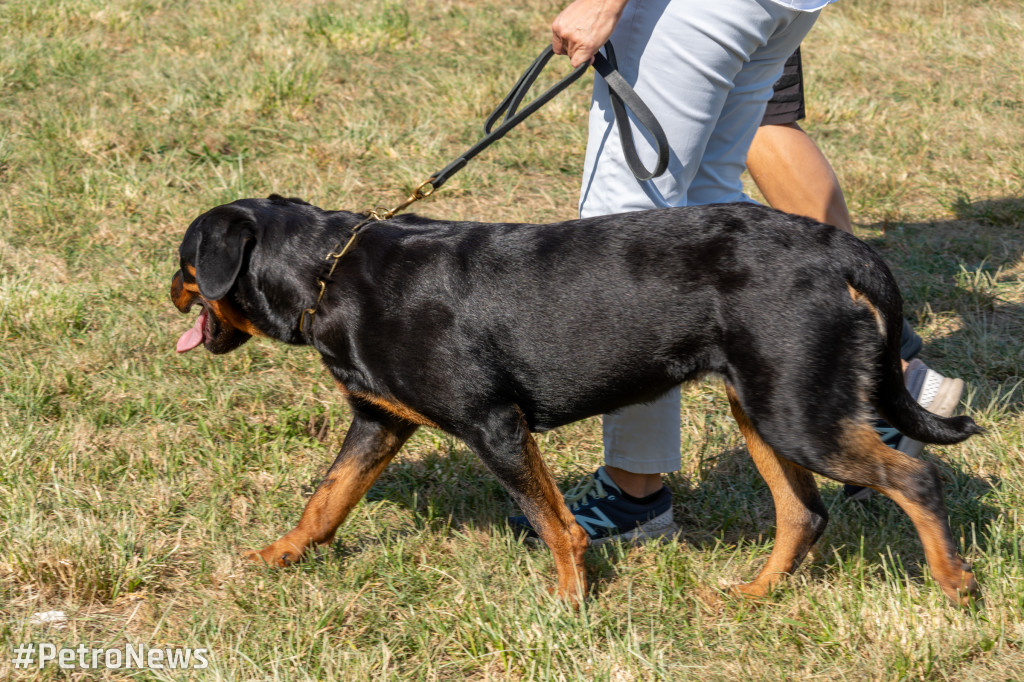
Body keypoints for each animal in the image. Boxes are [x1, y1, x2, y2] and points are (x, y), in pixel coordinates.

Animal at [172, 193, 978, 602]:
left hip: (795, 412)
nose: (169, 291)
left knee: (914, 477)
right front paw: (278, 556)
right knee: (803, 512)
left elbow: (556, 524)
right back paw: (755, 593)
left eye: (184, 264)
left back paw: (954, 585)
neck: (329, 271)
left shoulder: (495, 425)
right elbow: (327, 498)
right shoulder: (378, 424)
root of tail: (834, 246)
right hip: (763, 406)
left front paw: (569, 603)